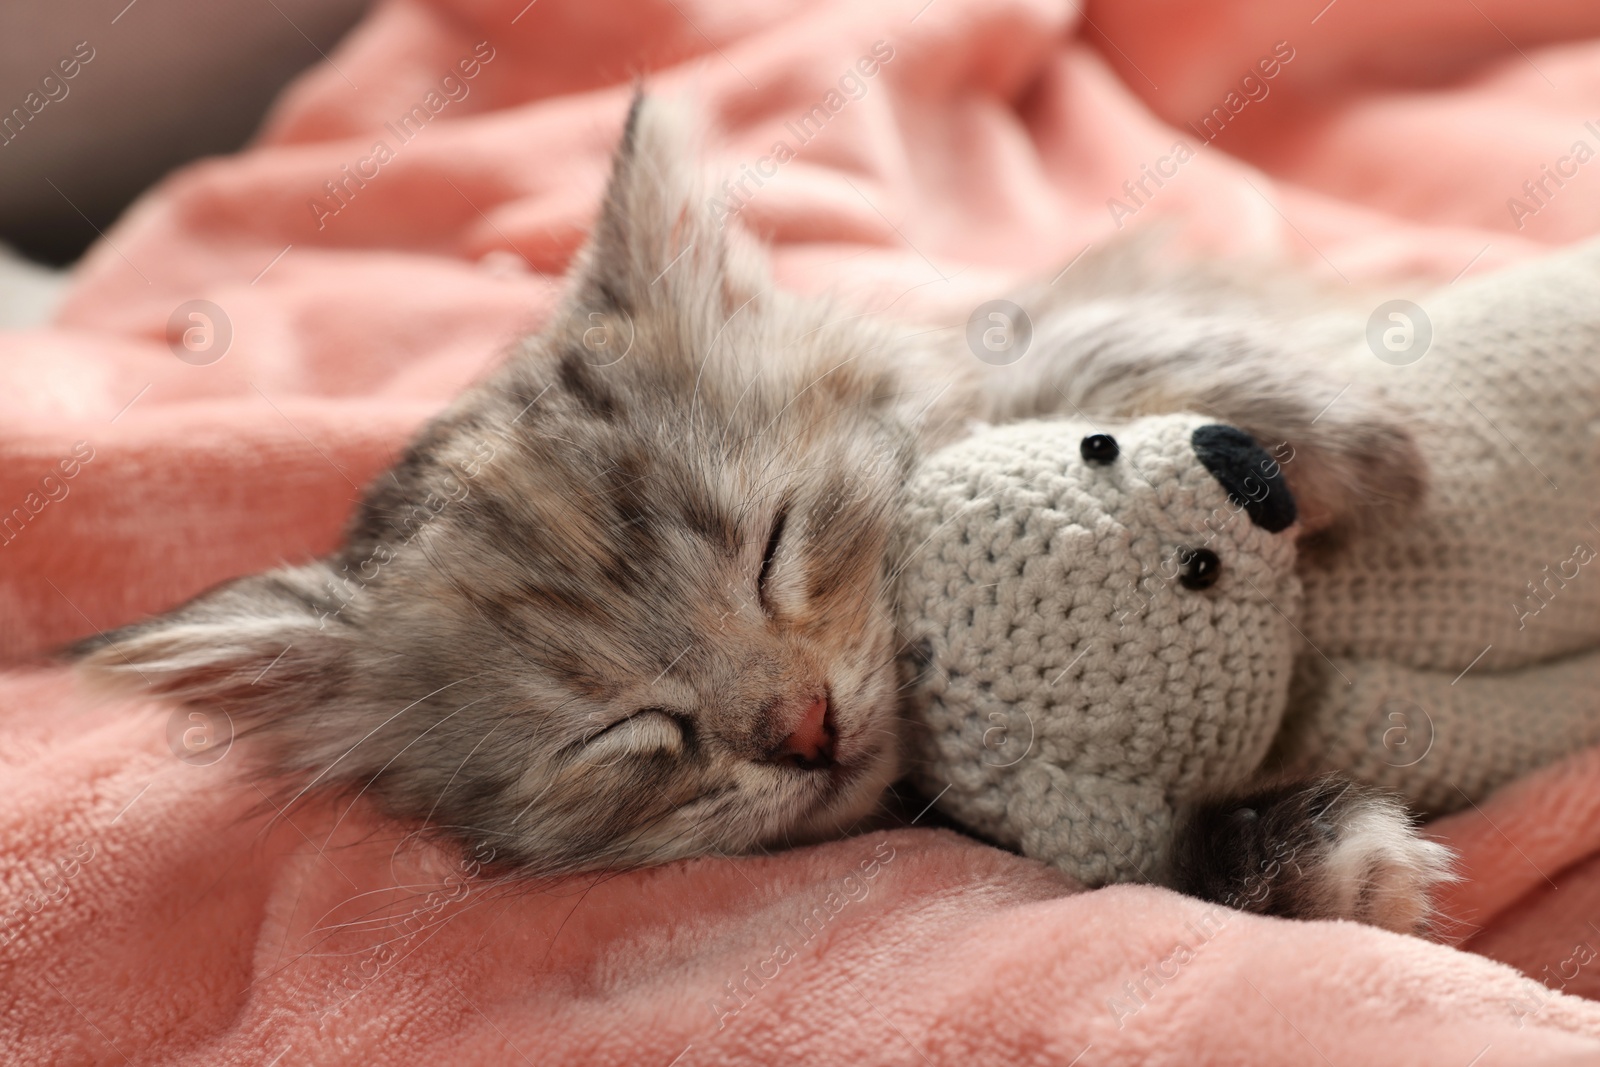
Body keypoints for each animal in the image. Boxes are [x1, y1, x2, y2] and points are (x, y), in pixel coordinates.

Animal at [72, 102, 1452, 934]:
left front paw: (1342, 434)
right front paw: (1313, 856)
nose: (802, 727)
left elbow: (1078, 355)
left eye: (773, 546)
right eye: (622, 729)